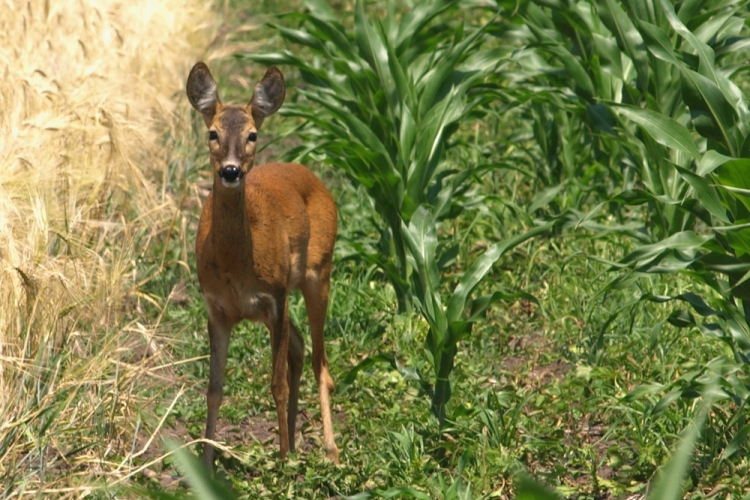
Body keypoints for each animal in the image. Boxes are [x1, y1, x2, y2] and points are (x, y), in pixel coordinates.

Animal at [188, 61, 340, 468]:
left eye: (253, 134)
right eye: (212, 132)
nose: (230, 171)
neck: (236, 267)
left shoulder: (274, 297)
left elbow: (277, 383)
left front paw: (284, 460)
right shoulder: (217, 309)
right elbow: (213, 389)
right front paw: (205, 465)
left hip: (317, 272)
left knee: (320, 360)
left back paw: (329, 449)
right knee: (301, 347)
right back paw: (297, 440)